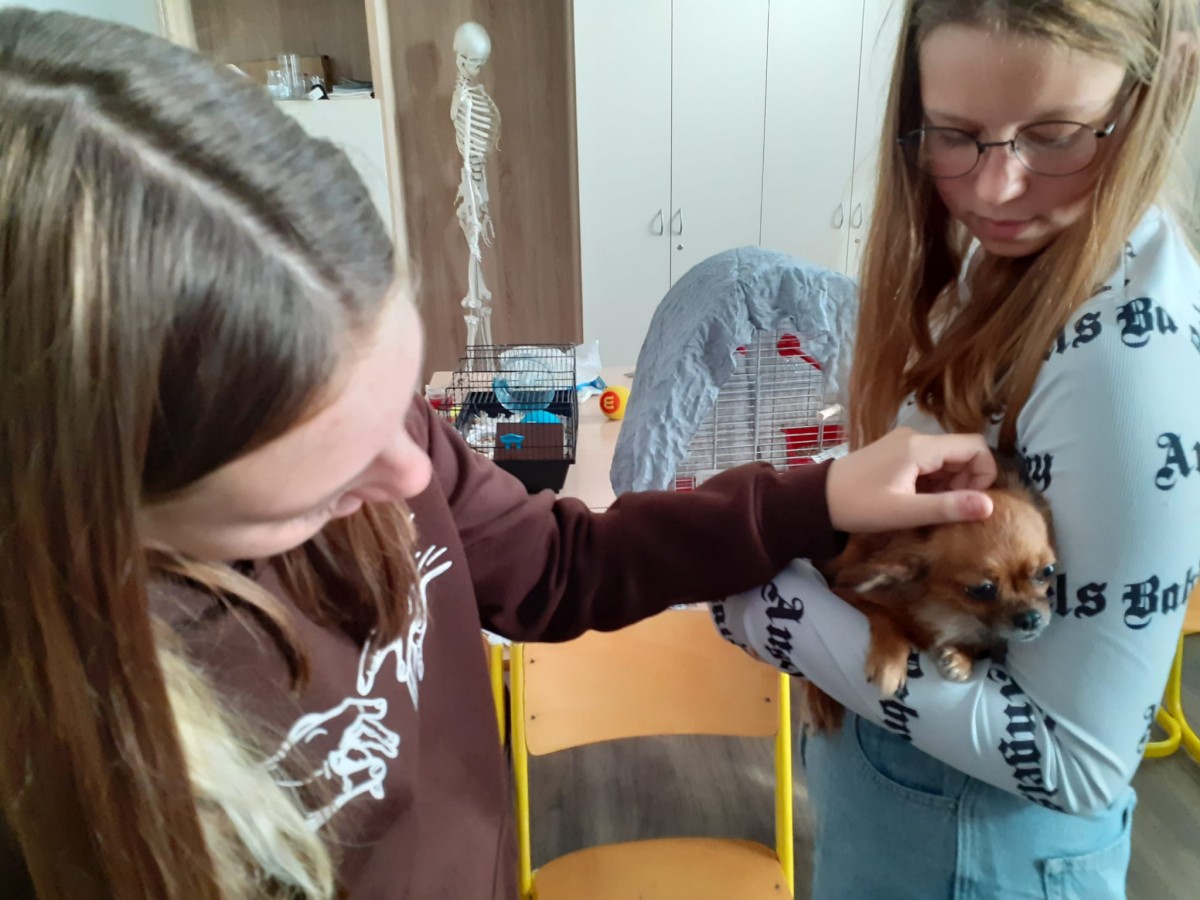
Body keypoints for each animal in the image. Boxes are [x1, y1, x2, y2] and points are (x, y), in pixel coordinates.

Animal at [801, 458, 1057, 732]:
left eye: (1047, 571)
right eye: (983, 590)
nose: (1030, 618)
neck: (951, 611)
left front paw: (961, 659)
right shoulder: (843, 594)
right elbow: (884, 614)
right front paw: (890, 662)